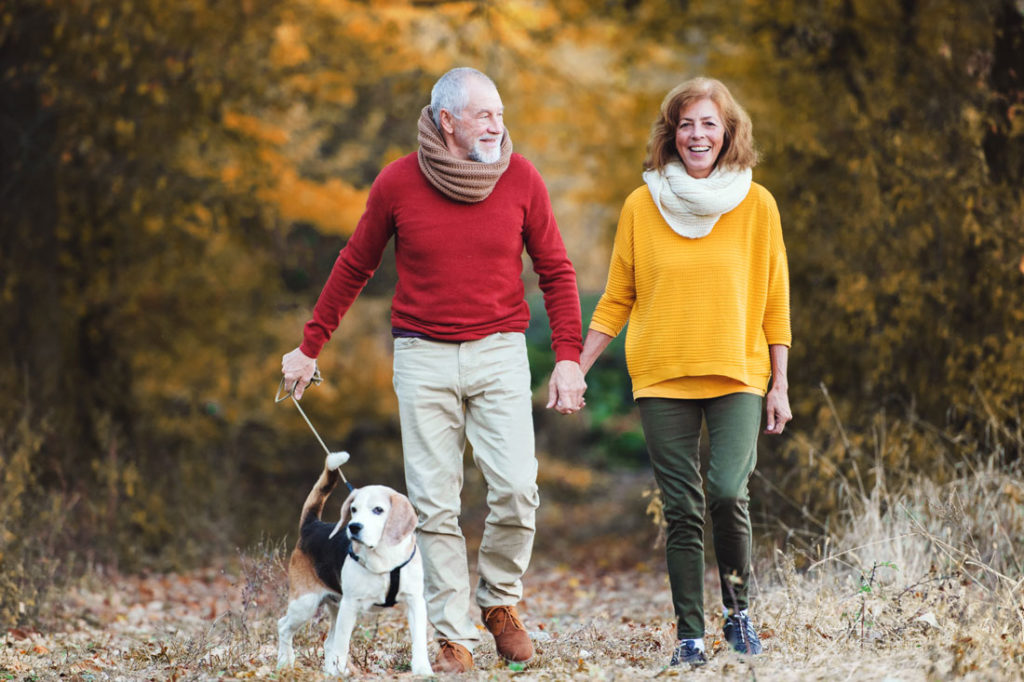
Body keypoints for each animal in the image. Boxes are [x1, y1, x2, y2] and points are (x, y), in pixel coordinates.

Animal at [274, 450, 430, 675]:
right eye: (354, 509)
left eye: (378, 510)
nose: (354, 527)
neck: (383, 556)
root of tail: (312, 525)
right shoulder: (351, 605)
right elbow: (342, 645)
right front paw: (339, 671)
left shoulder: (415, 601)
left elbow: (419, 641)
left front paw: (423, 669)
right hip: (304, 604)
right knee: (284, 627)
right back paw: (285, 663)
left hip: (334, 606)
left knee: (328, 642)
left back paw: (329, 673)